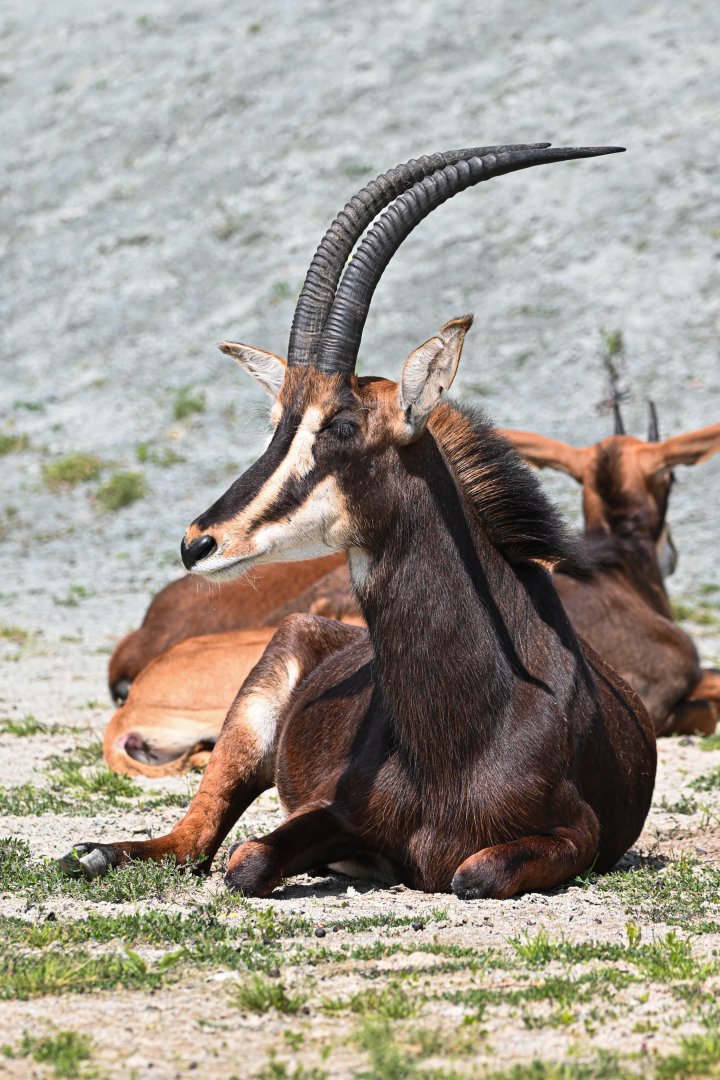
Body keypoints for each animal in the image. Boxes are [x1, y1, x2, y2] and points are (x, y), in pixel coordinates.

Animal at [61, 144, 656, 899]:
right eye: (278, 423)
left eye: (341, 424)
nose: (199, 542)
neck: (484, 715)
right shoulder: (331, 807)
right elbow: (247, 860)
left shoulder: (578, 834)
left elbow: (474, 872)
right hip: (249, 720)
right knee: (196, 840)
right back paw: (94, 852)